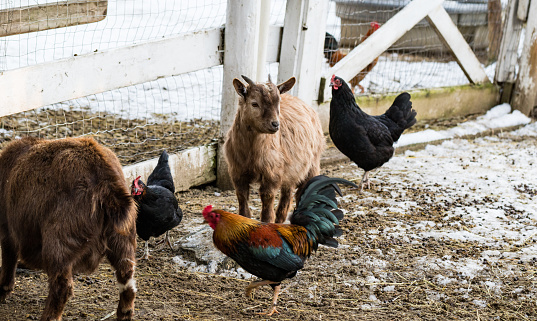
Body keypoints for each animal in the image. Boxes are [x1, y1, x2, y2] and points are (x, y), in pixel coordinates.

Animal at [224, 75, 324, 222]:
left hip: (311, 165)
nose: (275, 124)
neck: (252, 152)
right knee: (288, 193)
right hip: (292, 169)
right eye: (254, 103)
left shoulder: (272, 173)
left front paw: (267, 221)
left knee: (300, 191)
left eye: (278, 103)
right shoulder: (237, 172)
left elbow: (267, 198)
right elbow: (242, 197)